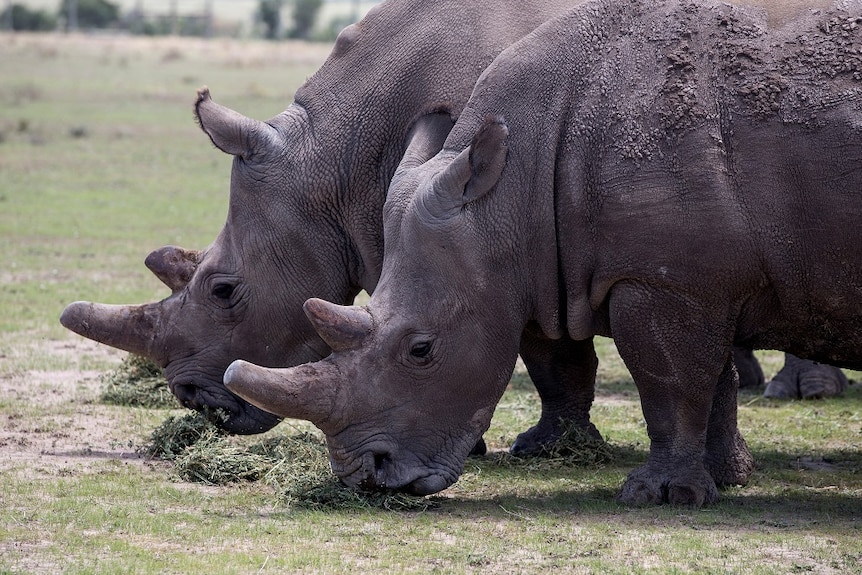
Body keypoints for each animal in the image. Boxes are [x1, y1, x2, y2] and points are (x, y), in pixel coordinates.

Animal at [226, 0, 862, 504]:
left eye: (421, 350)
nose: (366, 477)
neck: (511, 186)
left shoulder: (667, 279)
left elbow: (671, 383)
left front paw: (662, 495)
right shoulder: (660, 273)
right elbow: (664, 373)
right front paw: (722, 480)